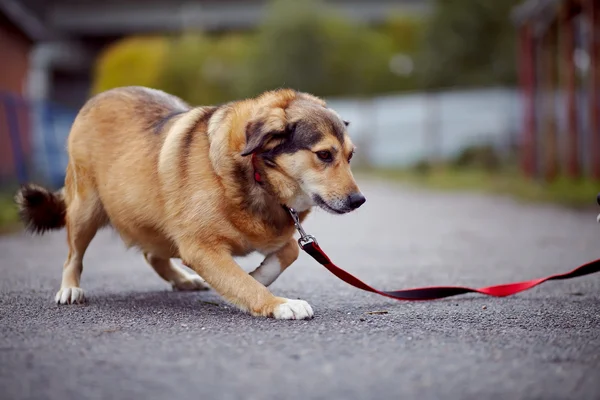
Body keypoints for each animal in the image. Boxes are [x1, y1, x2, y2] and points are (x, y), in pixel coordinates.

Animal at [16, 86, 366, 320]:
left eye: (350, 157)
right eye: (324, 155)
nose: (359, 201)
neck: (256, 174)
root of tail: (100, 97)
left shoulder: (275, 234)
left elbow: (289, 250)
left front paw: (258, 275)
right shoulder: (201, 248)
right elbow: (246, 284)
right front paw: (277, 303)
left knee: (152, 255)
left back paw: (182, 280)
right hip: (85, 211)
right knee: (73, 256)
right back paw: (69, 288)